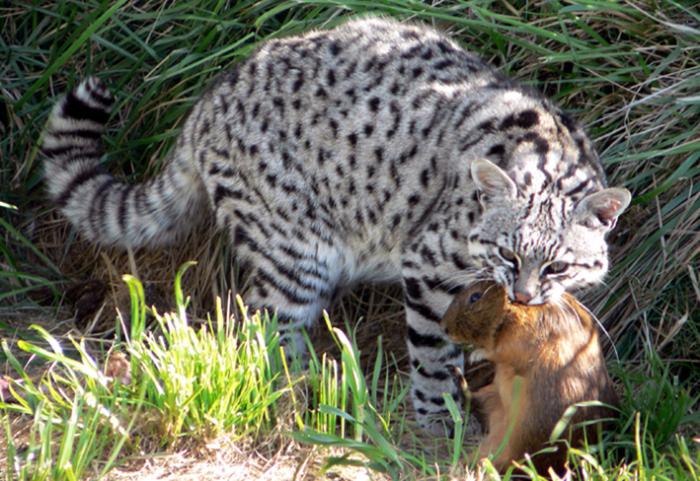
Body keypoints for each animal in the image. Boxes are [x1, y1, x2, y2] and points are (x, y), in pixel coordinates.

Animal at [41, 17, 632, 432]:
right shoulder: (430, 269)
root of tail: (208, 103)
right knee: (267, 328)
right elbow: (433, 349)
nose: (525, 296)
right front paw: (440, 418)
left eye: (557, 266)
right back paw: (302, 395)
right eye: (509, 254)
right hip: (296, 254)